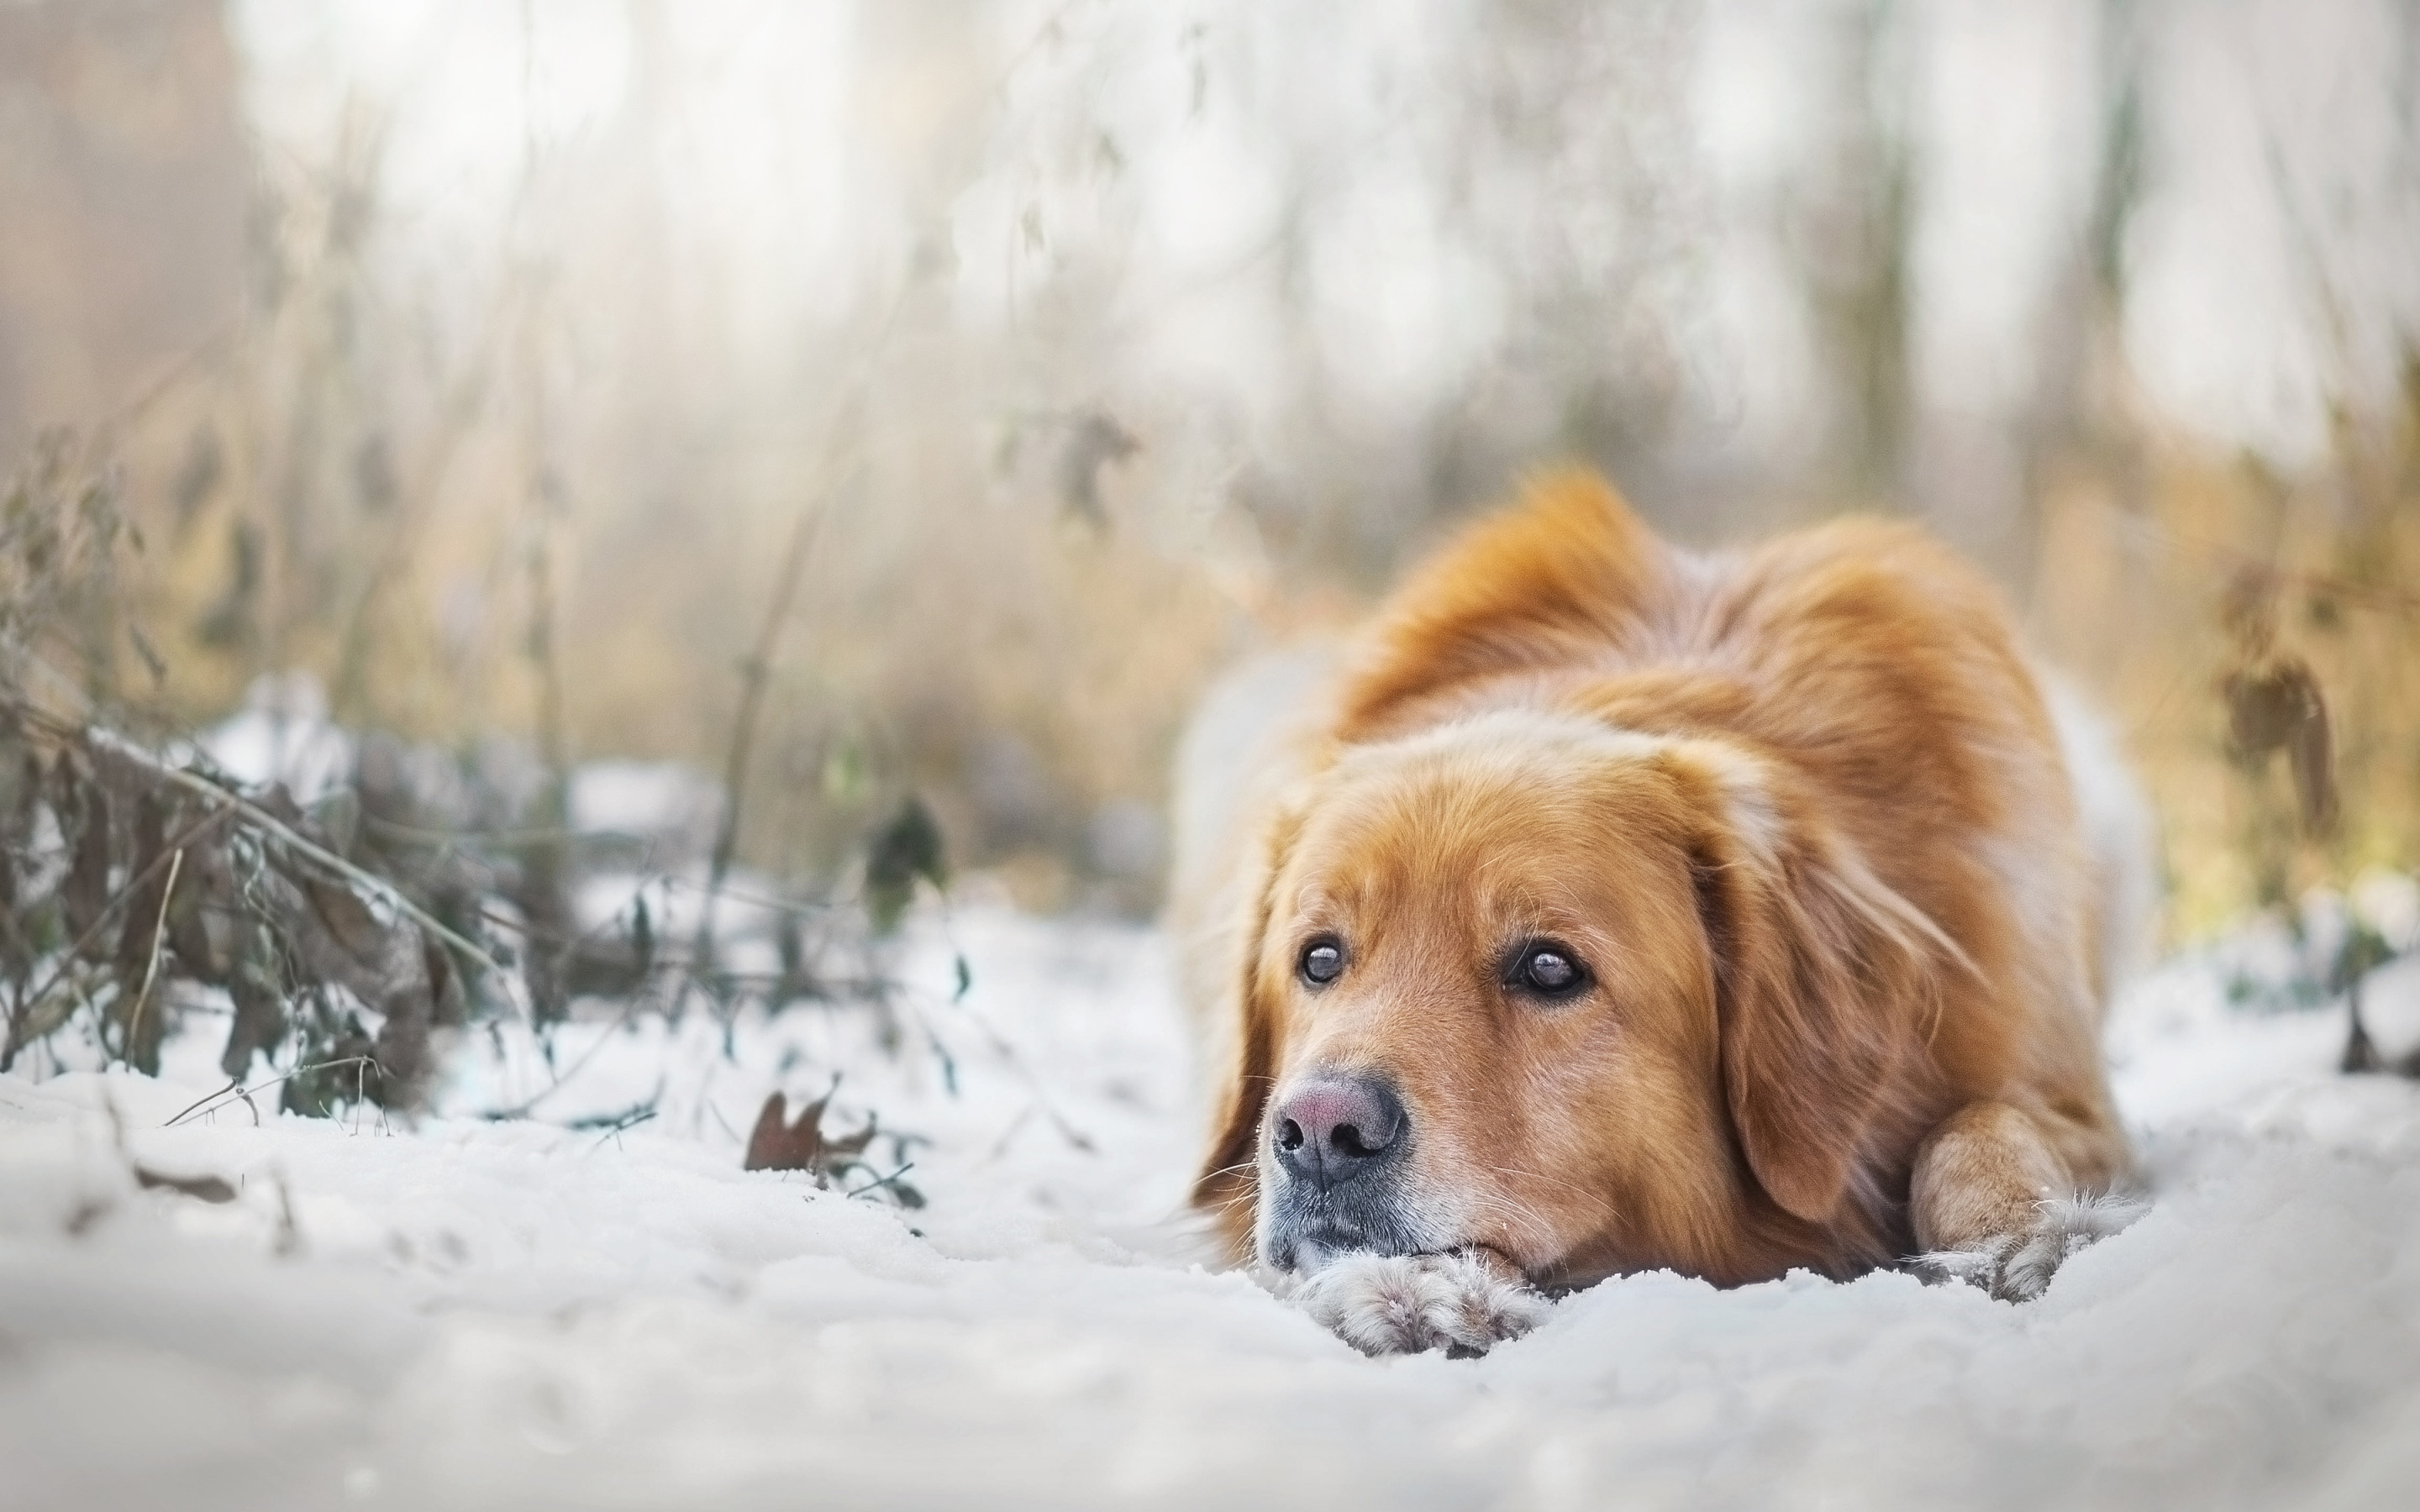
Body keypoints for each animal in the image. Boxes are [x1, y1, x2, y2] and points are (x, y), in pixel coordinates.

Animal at [1171, 471, 2158, 1354]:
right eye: (1320, 959)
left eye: (1549, 968)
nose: (1318, 1132)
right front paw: (1422, 1284)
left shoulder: (2065, 1091)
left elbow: (1978, 1125)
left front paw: (2027, 1234)